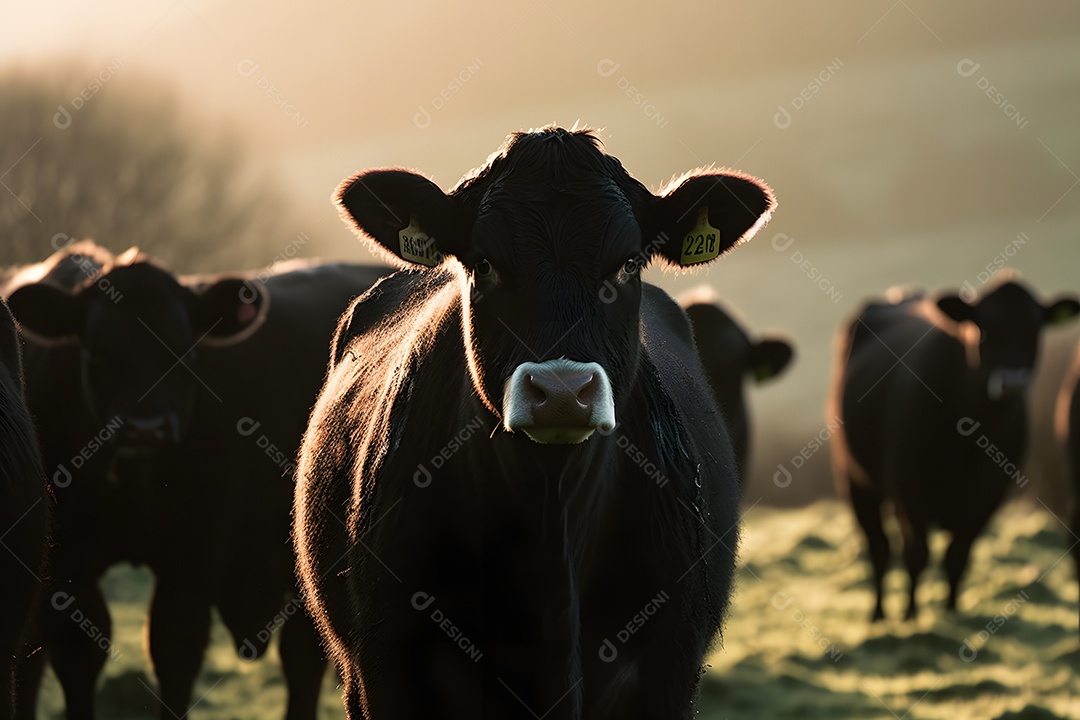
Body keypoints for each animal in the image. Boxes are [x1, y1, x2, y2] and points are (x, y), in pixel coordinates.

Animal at [829, 278, 1075, 621]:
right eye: (985, 329)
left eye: (1034, 329)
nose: (1012, 382)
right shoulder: (909, 490)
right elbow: (917, 555)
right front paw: (911, 615)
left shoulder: (988, 496)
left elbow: (957, 556)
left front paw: (951, 613)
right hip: (855, 479)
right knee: (879, 546)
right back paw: (878, 613)